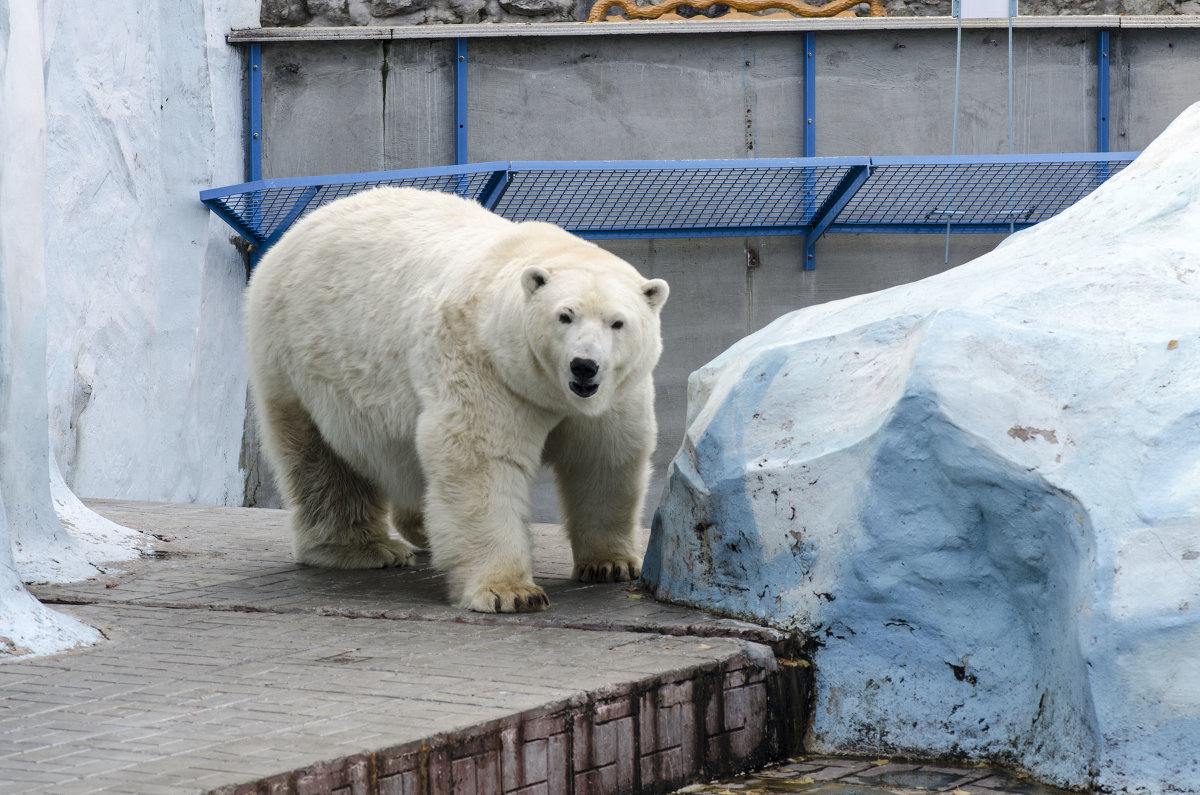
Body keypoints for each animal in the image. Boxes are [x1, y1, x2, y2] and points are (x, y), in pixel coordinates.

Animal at [242, 187, 667, 614]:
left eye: (617, 322)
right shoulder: (485, 367)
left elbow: (606, 458)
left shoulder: (616, 393)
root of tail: (302, 227)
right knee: (322, 460)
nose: (584, 366)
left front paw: (611, 564)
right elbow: (481, 462)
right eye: (565, 316)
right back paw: (364, 548)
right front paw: (510, 592)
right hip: (300, 360)